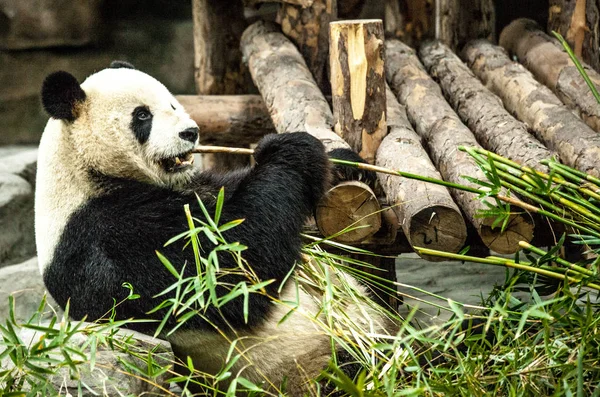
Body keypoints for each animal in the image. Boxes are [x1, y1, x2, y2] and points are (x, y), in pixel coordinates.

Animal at [36, 62, 394, 392]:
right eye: (142, 116)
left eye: (173, 105)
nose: (190, 133)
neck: (86, 172)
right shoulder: (106, 235)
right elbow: (227, 269)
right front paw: (291, 150)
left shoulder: (196, 188)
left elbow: (230, 196)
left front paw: (346, 164)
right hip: (310, 365)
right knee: (352, 366)